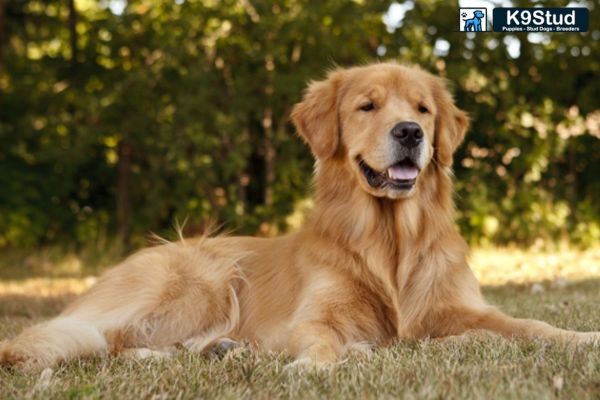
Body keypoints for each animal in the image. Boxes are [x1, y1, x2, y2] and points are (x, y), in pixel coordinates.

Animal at [2, 62, 596, 372]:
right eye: (367, 106)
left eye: (423, 109)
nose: (410, 133)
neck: (389, 241)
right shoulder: (315, 317)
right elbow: (322, 342)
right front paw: (312, 368)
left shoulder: (463, 309)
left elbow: (530, 326)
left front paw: (582, 337)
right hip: (200, 273)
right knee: (96, 340)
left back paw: (217, 348)